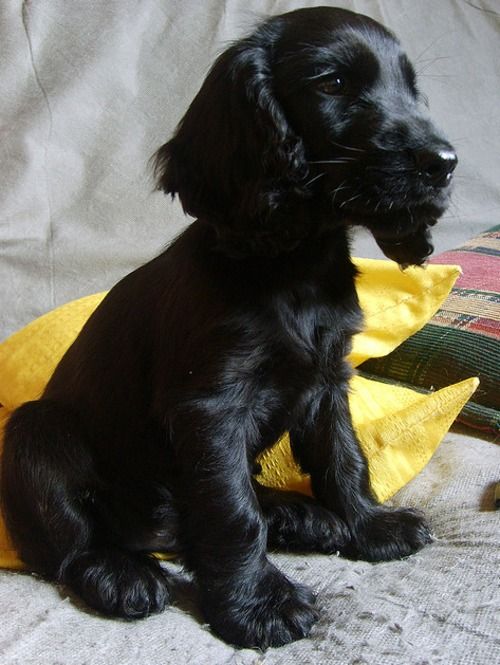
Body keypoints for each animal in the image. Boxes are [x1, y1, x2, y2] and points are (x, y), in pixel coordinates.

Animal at [1, 5, 458, 648]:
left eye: (412, 89)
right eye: (333, 84)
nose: (444, 162)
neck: (293, 263)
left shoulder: (327, 380)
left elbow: (343, 457)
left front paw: (369, 525)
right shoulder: (212, 406)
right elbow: (231, 509)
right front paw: (260, 605)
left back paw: (301, 517)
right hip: (36, 431)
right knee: (67, 549)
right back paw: (122, 573)